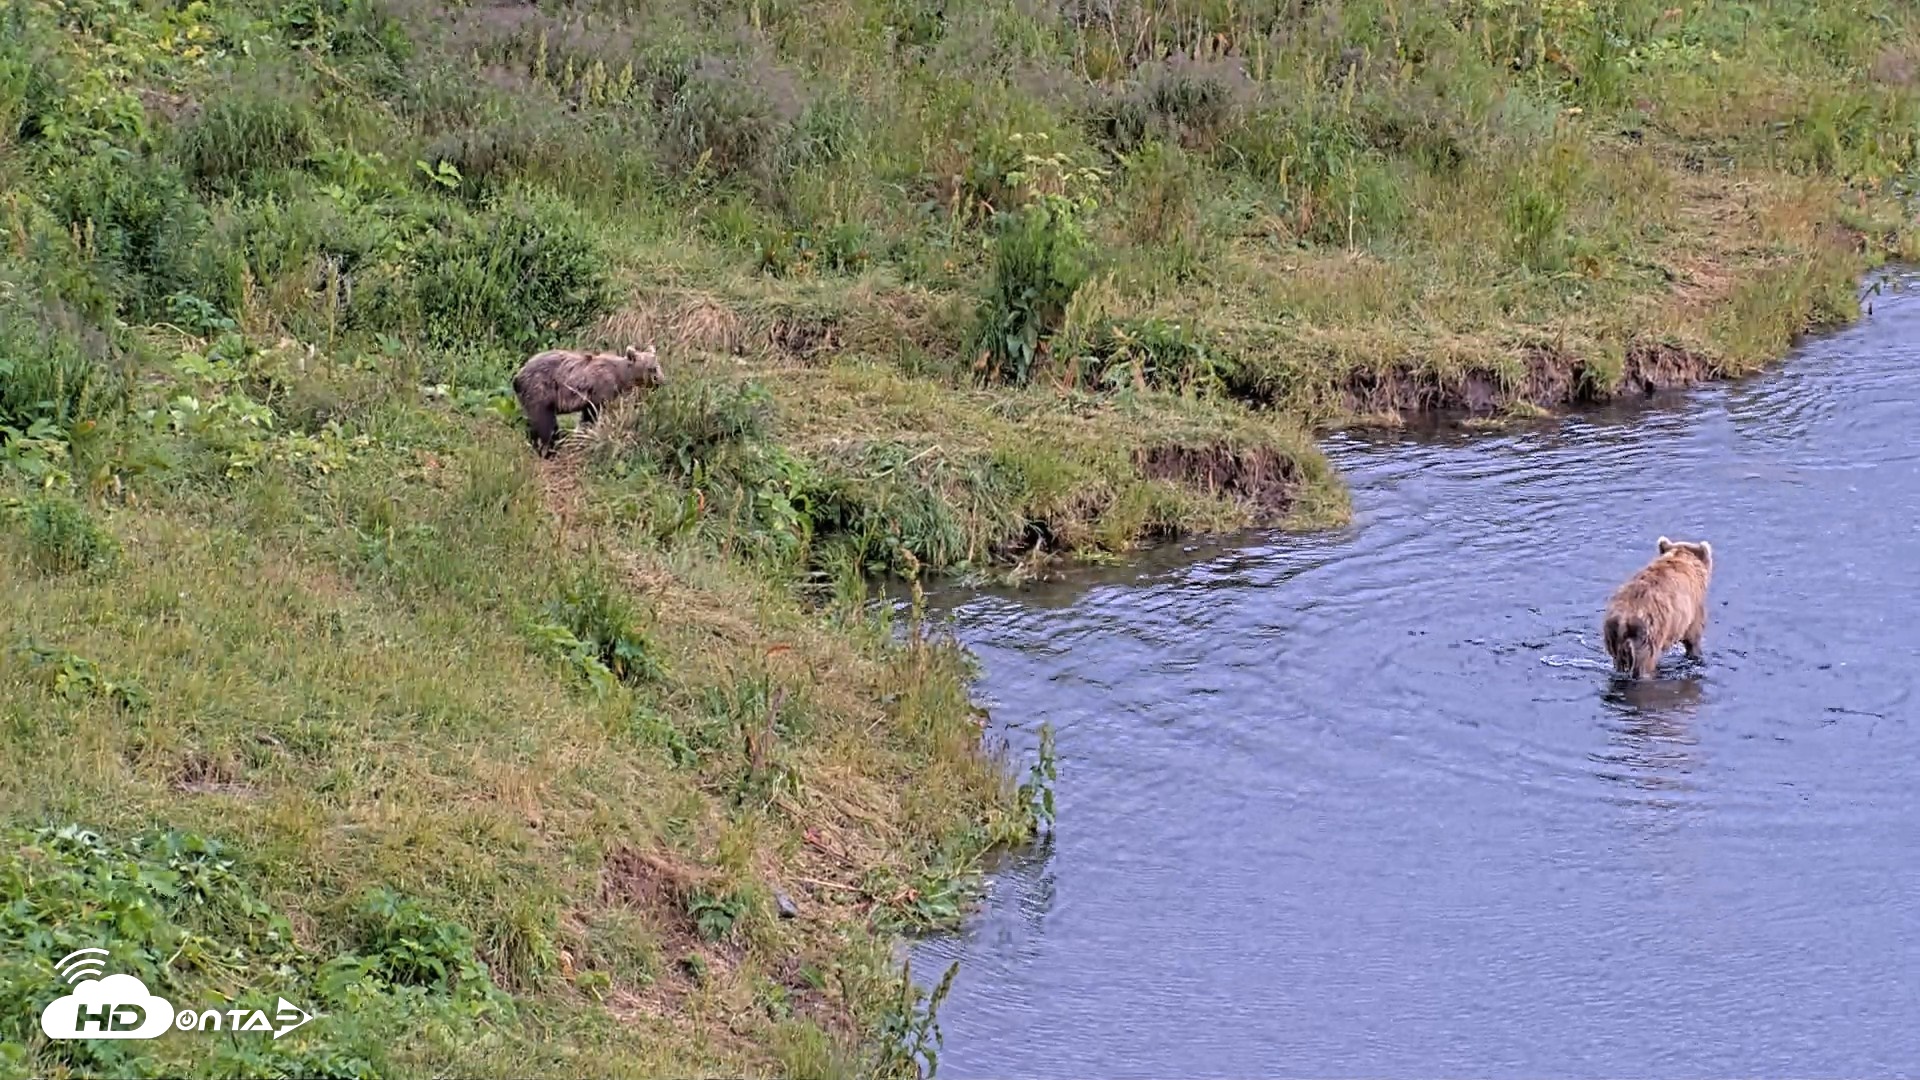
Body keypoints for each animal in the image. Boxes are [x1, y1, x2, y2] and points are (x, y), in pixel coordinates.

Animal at [511, 344, 665, 457]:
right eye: (652, 368)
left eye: (658, 366)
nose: (661, 381)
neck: (621, 377)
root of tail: (517, 376)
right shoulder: (600, 389)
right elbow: (592, 415)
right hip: (540, 390)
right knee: (544, 422)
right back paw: (547, 450)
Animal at [1602, 536, 1714, 680]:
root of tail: (1624, 620)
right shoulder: (1693, 608)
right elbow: (1693, 636)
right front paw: (1695, 654)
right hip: (1648, 634)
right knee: (1645, 662)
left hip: (1613, 637)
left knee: (1618, 662)